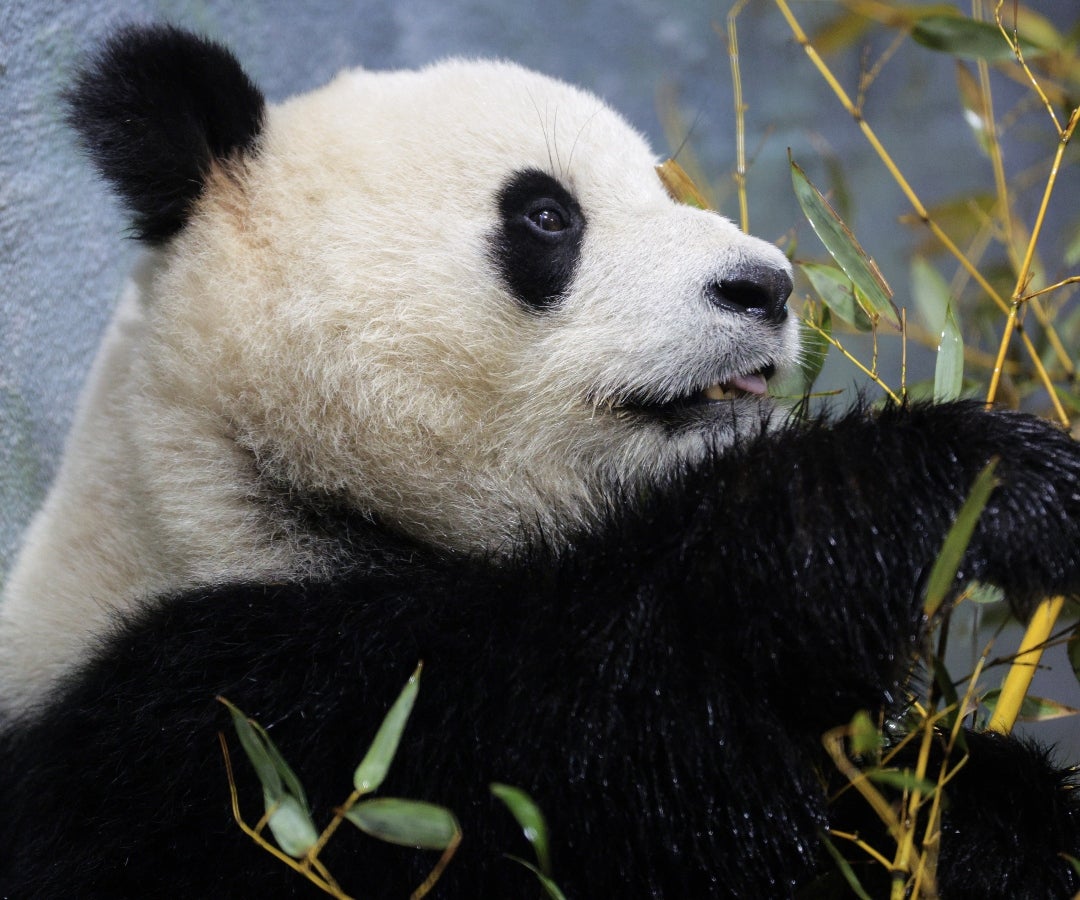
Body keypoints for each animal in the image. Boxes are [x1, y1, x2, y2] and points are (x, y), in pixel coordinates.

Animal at [1, 24, 1079, 900]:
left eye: (663, 186)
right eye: (547, 215)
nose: (765, 286)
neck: (233, 479)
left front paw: (984, 809)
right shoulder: (213, 734)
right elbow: (590, 744)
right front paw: (954, 490)